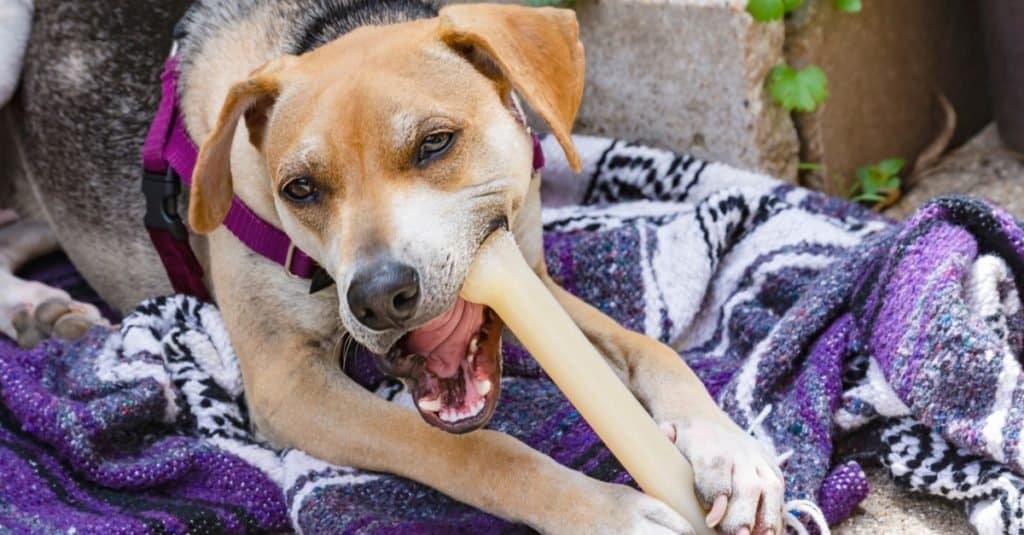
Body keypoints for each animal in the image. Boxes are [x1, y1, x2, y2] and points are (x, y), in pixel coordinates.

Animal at [4, 2, 782, 528]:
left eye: (436, 143)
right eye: (300, 189)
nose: (379, 296)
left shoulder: (533, 280)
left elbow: (653, 349)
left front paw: (729, 450)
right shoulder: (287, 384)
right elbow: (478, 451)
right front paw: (604, 510)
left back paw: (39, 305)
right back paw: (28, 305)